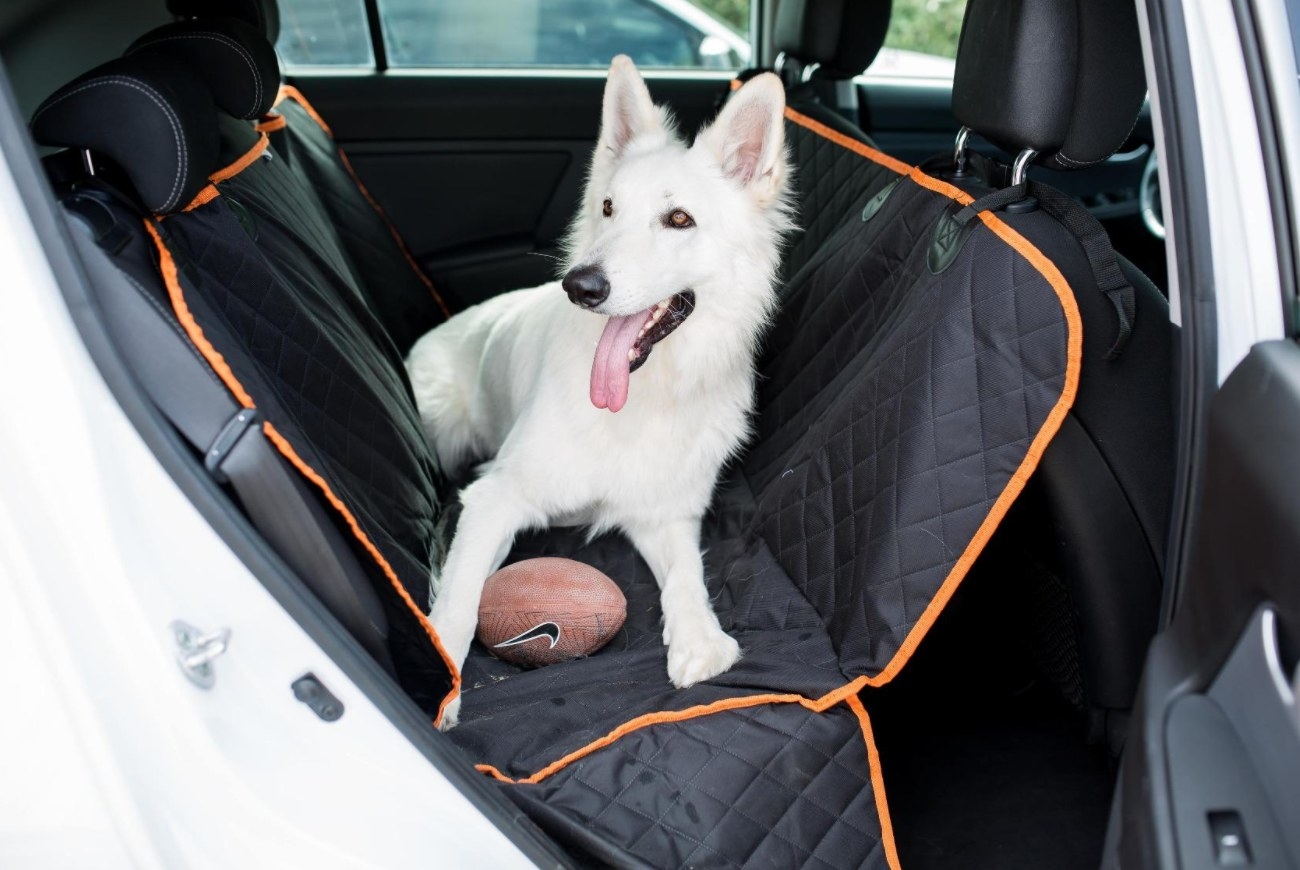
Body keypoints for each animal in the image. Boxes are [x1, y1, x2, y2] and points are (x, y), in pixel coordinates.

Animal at [408, 55, 790, 728]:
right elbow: (457, 598)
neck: (639, 400)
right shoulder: (495, 498)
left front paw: (699, 639)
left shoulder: (664, 513)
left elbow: (688, 575)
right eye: (609, 207)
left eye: (679, 219)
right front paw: (445, 680)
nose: (580, 286)